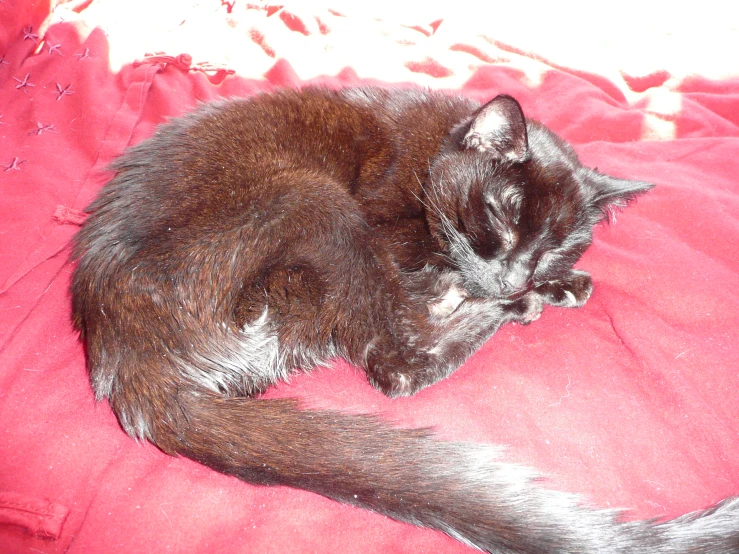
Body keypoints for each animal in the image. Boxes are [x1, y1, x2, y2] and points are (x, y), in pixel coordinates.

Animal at [71, 87, 739, 552]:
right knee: (398, 364)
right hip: (315, 198)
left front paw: (556, 281)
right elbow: (433, 272)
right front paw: (517, 290)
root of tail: (126, 361)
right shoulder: (392, 233)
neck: (432, 149)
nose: (518, 277)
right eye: (501, 219)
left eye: (556, 246)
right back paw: (504, 308)